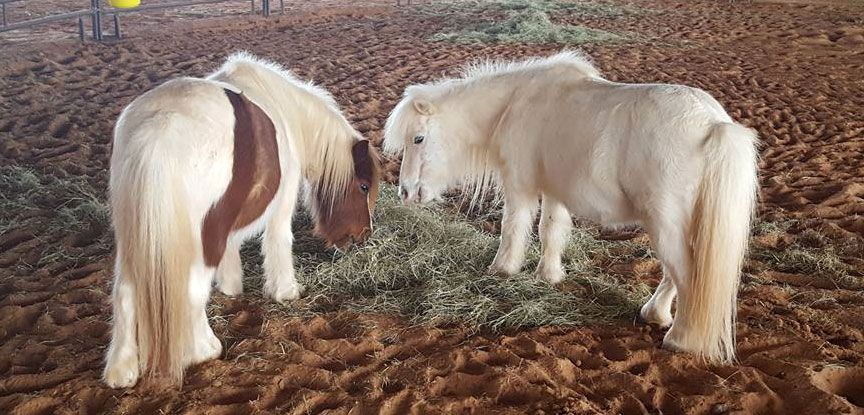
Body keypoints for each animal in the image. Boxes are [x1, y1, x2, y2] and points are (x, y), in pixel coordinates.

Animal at [103, 52, 381, 388]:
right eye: (363, 187)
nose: (363, 235)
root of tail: (159, 132)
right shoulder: (280, 206)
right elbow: (279, 244)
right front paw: (286, 292)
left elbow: (232, 248)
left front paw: (231, 286)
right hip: (198, 242)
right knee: (191, 291)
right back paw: (205, 349)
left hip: (133, 241)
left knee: (124, 293)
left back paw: (121, 371)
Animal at [383, 51, 758, 364]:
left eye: (418, 138)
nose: (406, 192)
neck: (514, 102)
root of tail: (712, 125)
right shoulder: (554, 192)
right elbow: (550, 231)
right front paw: (548, 275)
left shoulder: (520, 186)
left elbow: (513, 228)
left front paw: (502, 269)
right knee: (674, 274)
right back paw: (655, 314)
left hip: (665, 222)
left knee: (685, 272)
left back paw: (679, 338)